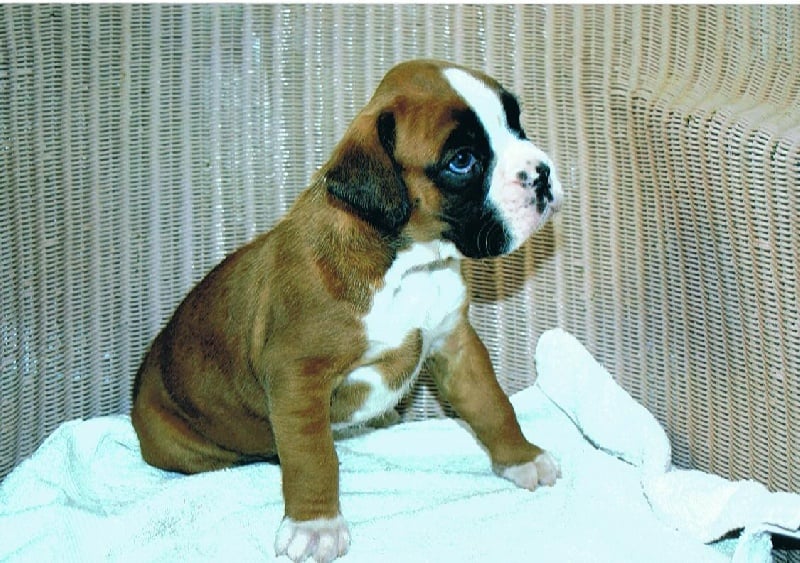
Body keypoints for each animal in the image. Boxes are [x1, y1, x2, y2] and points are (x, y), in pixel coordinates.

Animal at [131, 59, 564, 562]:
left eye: (516, 123)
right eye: (462, 161)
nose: (542, 173)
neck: (409, 263)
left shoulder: (455, 347)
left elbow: (493, 405)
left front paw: (521, 458)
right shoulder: (298, 377)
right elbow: (313, 457)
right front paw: (316, 525)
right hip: (178, 445)